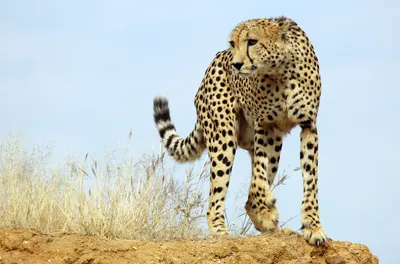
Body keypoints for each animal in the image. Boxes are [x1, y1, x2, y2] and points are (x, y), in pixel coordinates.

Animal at [153, 16, 328, 245]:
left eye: (252, 42)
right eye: (232, 43)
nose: (236, 64)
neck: (280, 71)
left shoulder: (308, 125)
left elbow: (310, 178)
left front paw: (313, 226)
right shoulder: (264, 127)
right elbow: (258, 179)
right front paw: (265, 210)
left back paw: (272, 226)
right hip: (224, 137)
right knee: (218, 194)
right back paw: (223, 230)